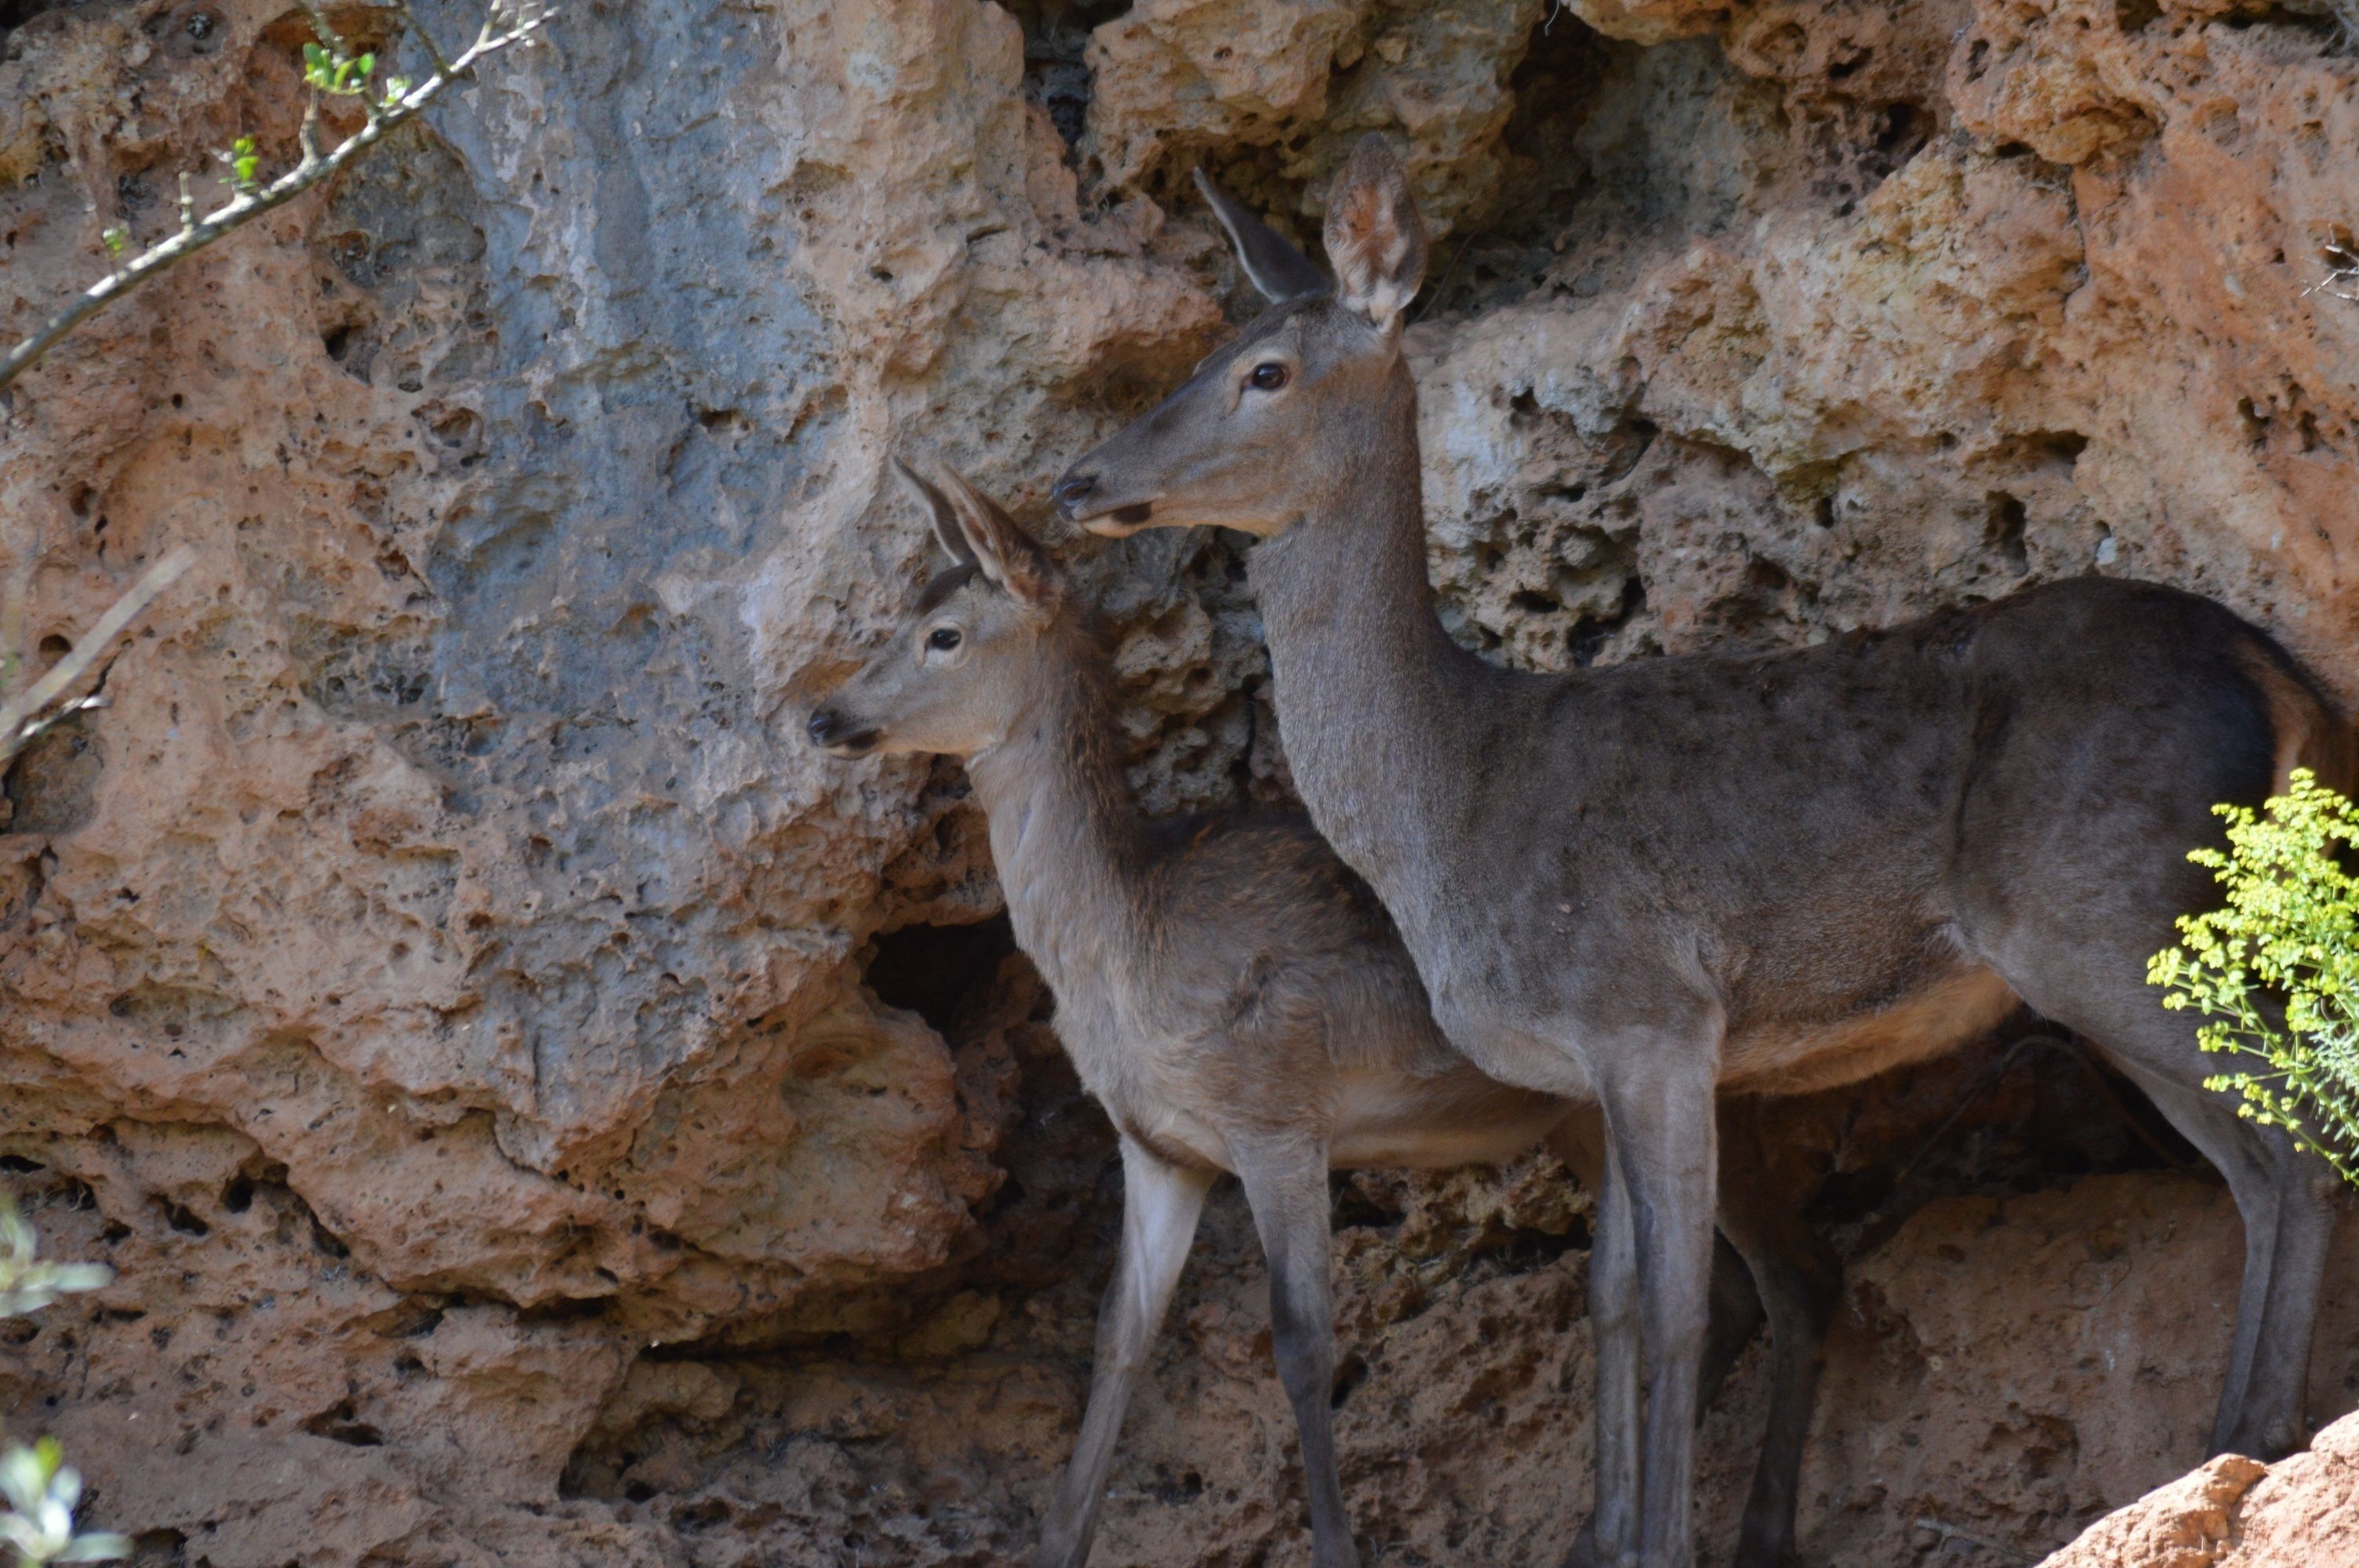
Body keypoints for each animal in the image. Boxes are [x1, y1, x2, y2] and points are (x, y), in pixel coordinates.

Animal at [806, 461, 1844, 1568]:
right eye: (898, 615)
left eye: (943, 633)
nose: (822, 717)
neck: (1128, 953)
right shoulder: (1156, 1143)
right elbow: (1117, 1340)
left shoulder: (1274, 1110)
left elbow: (1300, 1341)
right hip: (1586, 1113)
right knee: (1733, 1285)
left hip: (1703, 1077)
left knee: (1798, 1273)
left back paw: (1757, 1530)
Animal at [1048, 136, 2356, 1568]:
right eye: (1210, 347)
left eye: (1266, 372)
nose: (1077, 479)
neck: (1448, 804)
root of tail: (2280, 674)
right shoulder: (1595, 1054)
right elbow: (1616, 1300)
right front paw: (1616, 1533)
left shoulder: (1650, 1009)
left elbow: (1676, 1304)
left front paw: (1660, 1535)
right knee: (2255, 1150)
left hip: (2109, 909)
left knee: (2295, 1126)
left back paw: (2250, 1437)